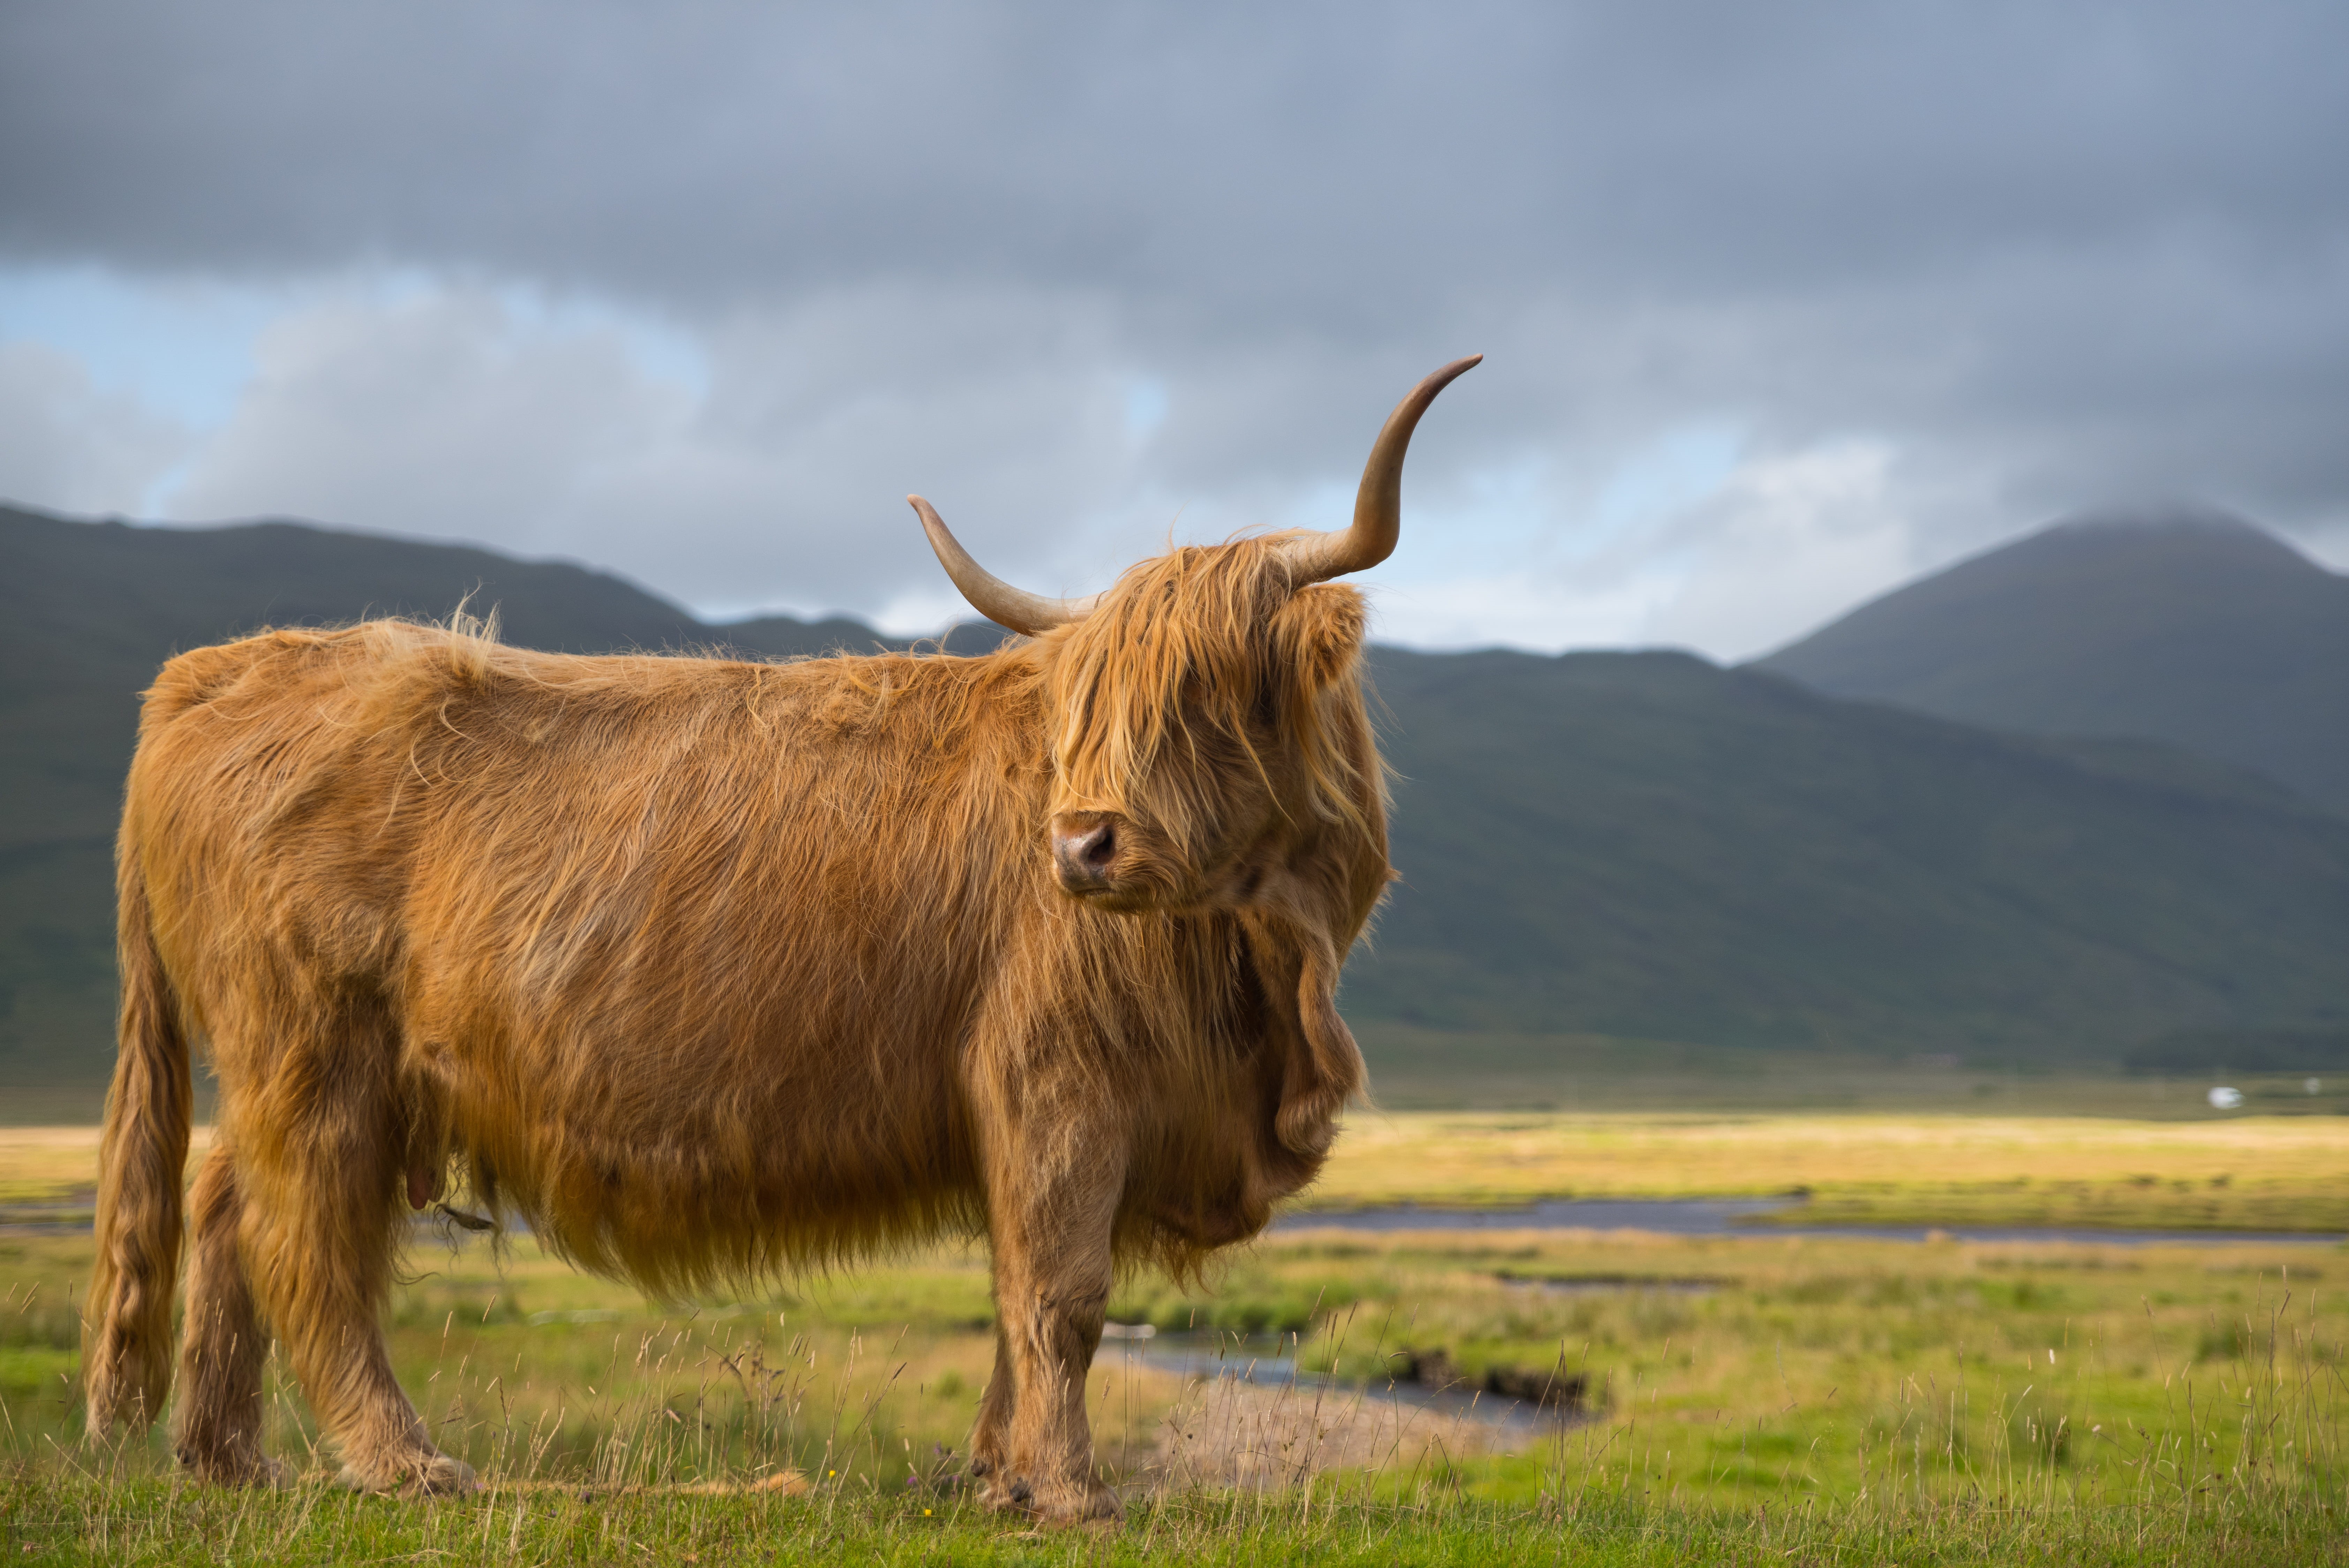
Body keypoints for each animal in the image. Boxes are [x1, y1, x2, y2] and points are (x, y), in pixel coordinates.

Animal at [82, 355, 1478, 1523]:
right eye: (1088, 708)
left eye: (1213, 693)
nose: (1083, 845)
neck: (1271, 985)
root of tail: (216, 670)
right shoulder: (1058, 1085)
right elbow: (1061, 1293)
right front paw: (1076, 1493)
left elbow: (1010, 1300)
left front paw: (996, 1474)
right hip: (317, 1056)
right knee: (309, 1246)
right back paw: (406, 1462)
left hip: (293, 1066)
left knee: (223, 1206)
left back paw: (227, 1459)